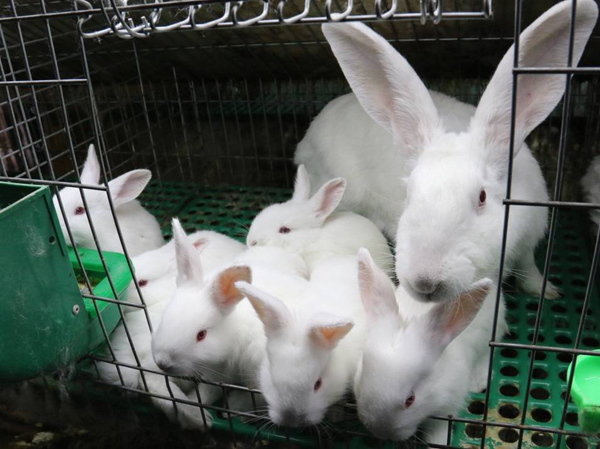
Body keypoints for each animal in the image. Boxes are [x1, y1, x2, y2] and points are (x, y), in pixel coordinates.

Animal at [296, 0, 600, 300]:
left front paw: (547, 291)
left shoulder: (529, 240)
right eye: (408, 194)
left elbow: (530, 268)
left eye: (482, 197)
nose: (425, 282)